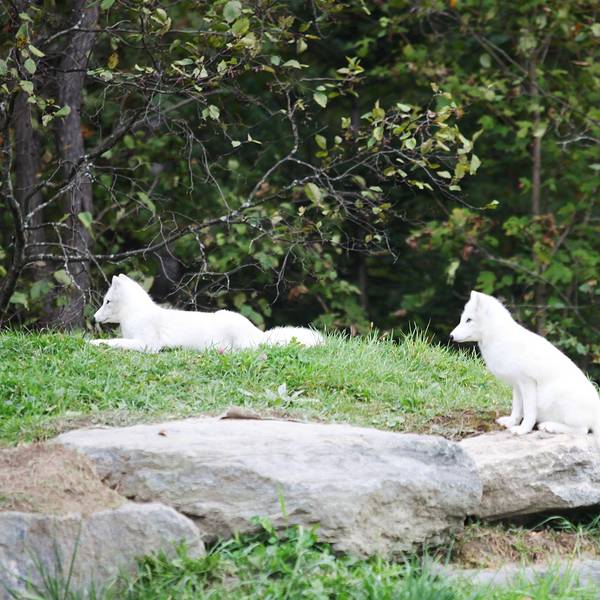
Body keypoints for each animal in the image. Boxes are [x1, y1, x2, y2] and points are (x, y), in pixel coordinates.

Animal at [90, 274, 323, 352]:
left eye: (107, 301)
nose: (93, 318)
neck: (134, 315)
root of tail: (260, 334)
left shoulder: (148, 344)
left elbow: (114, 342)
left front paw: (93, 342)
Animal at [450, 290, 600, 438]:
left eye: (469, 320)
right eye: (462, 319)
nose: (451, 336)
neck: (499, 338)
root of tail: (596, 413)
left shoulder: (527, 382)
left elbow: (528, 412)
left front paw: (523, 430)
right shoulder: (517, 385)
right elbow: (516, 408)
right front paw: (511, 422)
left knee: (582, 430)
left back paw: (549, 426)